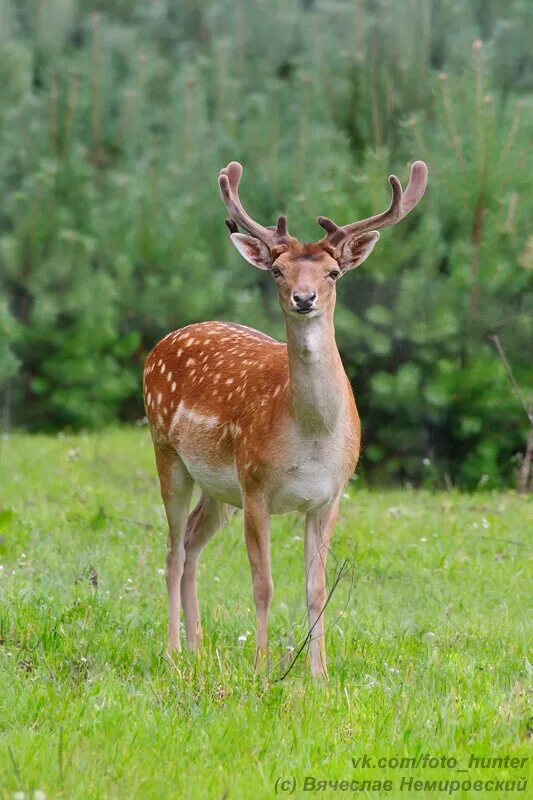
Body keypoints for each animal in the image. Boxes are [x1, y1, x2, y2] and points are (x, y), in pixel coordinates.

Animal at [143, 159, 426, 680]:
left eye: (333, 272)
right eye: (277, 269)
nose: (304, 297)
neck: (311, 438)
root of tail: (161, 344)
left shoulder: (329, 496)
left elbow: (316, 589)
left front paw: (320, 675)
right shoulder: (256, 486)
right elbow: (264, 583)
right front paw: (261, 667)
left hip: (220, 488)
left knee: (192, 540)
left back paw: (197, 648)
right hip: (167, 452)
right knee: (172, 549)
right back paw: (172, 652)